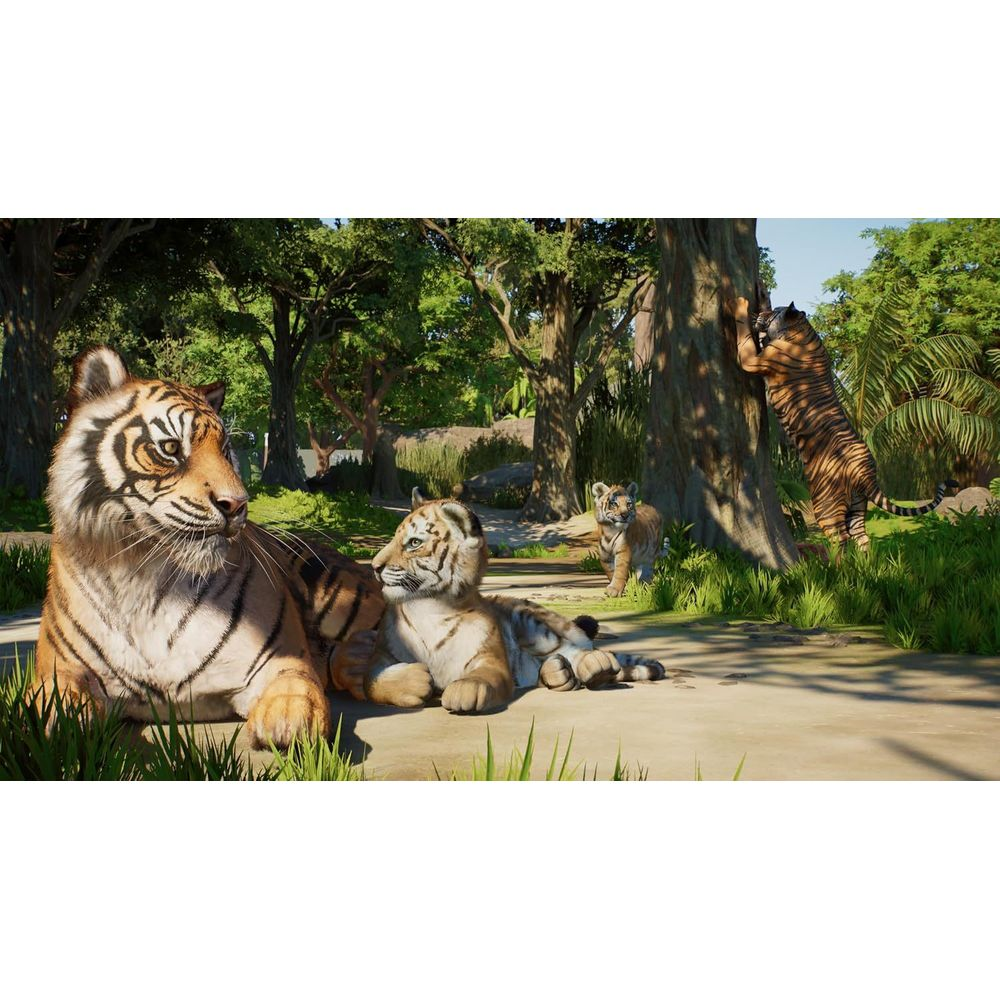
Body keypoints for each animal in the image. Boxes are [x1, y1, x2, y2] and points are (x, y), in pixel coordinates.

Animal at [32, 345, 384, 748]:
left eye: (226, 450)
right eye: (171, 448)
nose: (237, 504)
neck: (144, 575)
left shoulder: (279, 658)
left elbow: (296, 683)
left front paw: (290, 719)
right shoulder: (60, 668)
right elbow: (53, 702)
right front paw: (56, 726)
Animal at [352, 488, 666, 714]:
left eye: (414, 543)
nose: (375, 567)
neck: (431, 607)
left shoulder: (490, 657)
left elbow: (484, 678)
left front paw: (464, 691)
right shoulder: (380, 656)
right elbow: (372, 681)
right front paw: (417, 681)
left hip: (536, 625)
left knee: (581, 649)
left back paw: (595, 665)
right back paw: (558, 672)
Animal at [735, 297, 958, 553]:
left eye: (773, 312)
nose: (760, 312)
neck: (802, 328)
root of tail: (865, 471)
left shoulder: (754, 360)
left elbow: (743, 336)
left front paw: (740, 305)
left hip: (825, 502)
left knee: (839, 538)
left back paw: (831, 563)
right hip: (858, 504)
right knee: (862, 537)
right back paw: (866, 563)